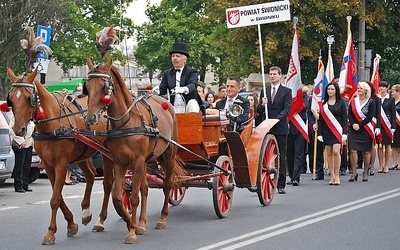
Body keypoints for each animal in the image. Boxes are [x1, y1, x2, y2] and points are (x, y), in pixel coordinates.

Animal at [5, 67, 113, 244]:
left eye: (29, 98)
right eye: (11, 99)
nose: (18, 129)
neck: (52, 123)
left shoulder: (61, 163)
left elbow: (55, 198)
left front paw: (50, 232)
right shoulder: (49, 165)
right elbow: (58, 195)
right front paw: (71, 223)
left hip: (107, 153)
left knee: (108, 183)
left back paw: (101, 220)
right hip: (82, 154)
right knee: (90, 174)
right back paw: (86, 211)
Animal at [85, 57, 185, 243]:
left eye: (104, 87)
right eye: (87, 87)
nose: (90, 118)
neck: (126, 122)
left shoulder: (136, 161)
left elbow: (133, 197)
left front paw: (131, 230)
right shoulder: (120, 162)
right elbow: (118, 197)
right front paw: (131, 223)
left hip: (169, 154)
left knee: (168, 184)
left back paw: (162, 218)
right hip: (145, 161)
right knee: (144, 188)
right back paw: (142, 222)